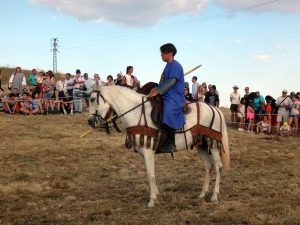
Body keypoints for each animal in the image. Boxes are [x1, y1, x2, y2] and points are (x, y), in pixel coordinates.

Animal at [88, 85, 231, 207]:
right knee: (208, 166)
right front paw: (156, 194)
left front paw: (152, 200)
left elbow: (151, 174)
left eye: (93, 99)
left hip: (212, 143)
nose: (90, 121)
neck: (137, 112)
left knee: (218, 167)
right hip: (201, 144)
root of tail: (215, 109)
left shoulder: (148, 151)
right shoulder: (142, 153)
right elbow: (150, 173)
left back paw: (214, 196)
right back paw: (202, 193)